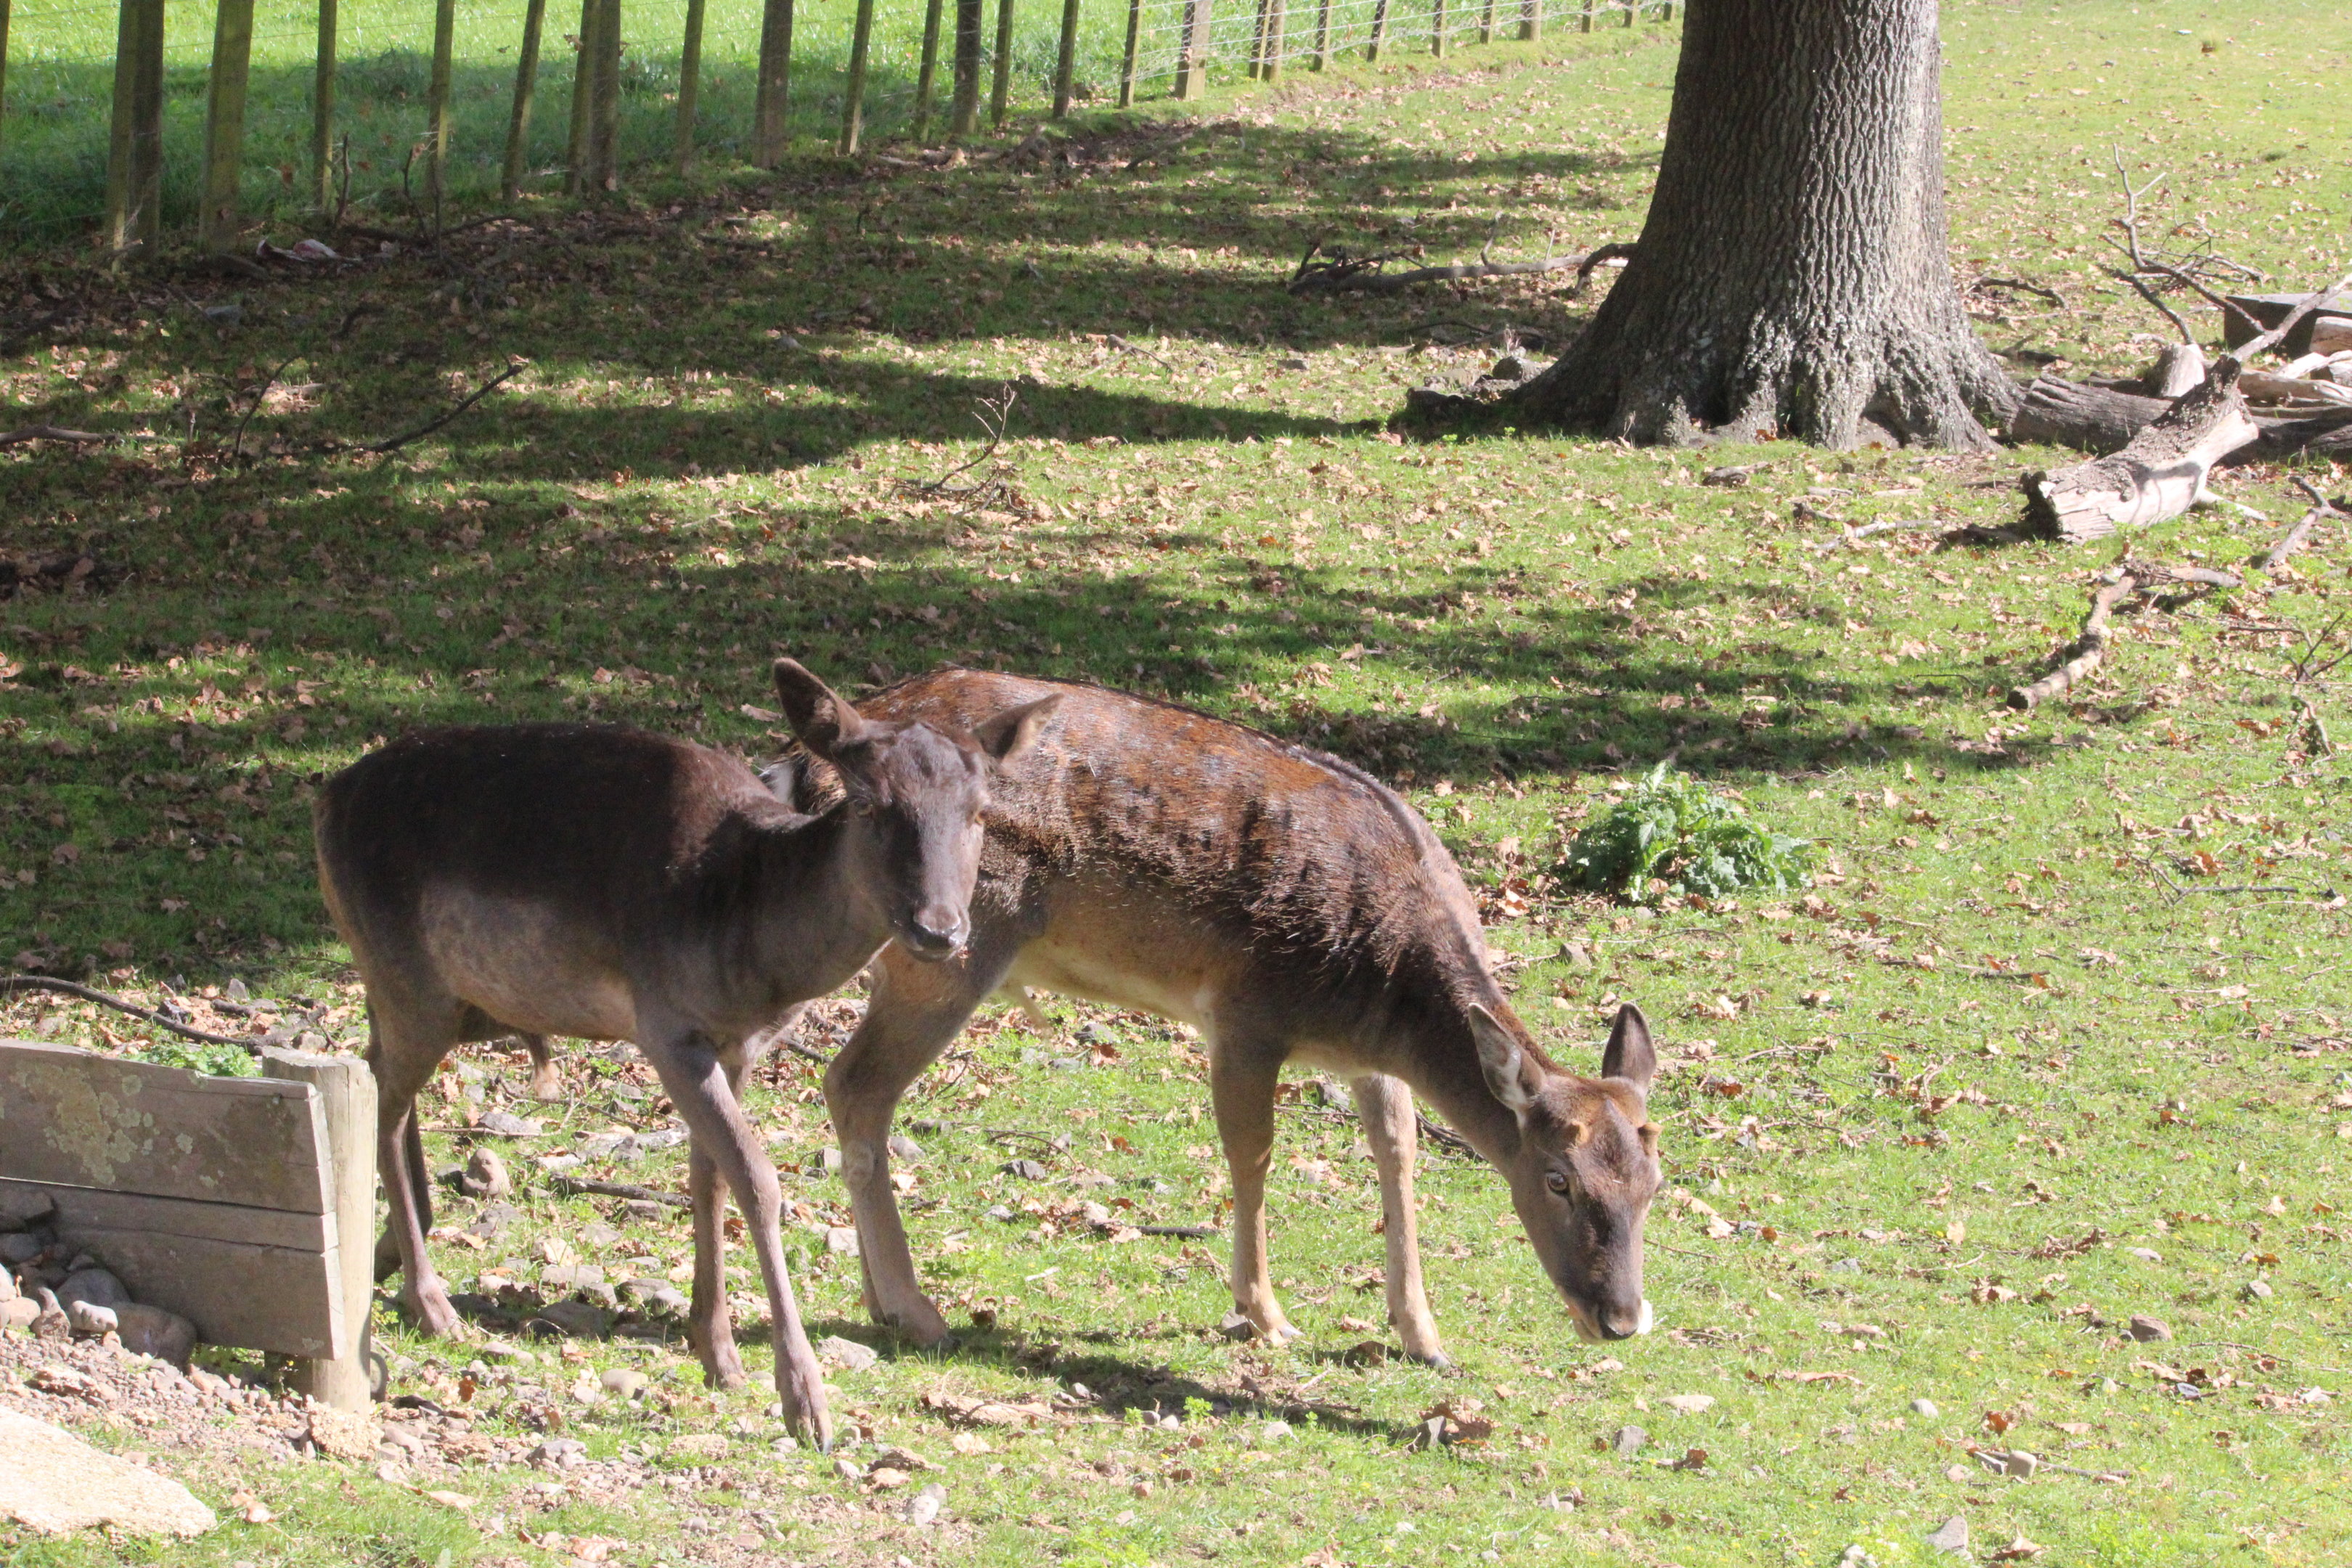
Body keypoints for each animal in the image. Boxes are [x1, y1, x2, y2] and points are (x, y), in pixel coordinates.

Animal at [313, 660, 1057, 1448]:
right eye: (870, 804)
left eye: (980, 812)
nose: (940, 929)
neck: (753, 940)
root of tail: (325, 798)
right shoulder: (665, 1024)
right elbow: (758, 1180)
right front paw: (805, 1403)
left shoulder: (739, 1046)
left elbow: (711, 1179)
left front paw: (719, 1353)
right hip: (409, 980)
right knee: (383, 1103)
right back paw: (431, 1304)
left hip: (429, 999)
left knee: (377, 1073)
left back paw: (395, 1259)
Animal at [772, 669, 1663, 1367]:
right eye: (1557, 1180)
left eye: (1654, 1184)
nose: (1621, 1319)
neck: (1380, 985)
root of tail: (804, 768)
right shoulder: (1246, 1012)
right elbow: (1252, 1153)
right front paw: (1265, 1314)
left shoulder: (1368, 1057)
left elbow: (1400, 1152)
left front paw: (1424, 1334)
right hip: (953, 941)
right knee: (856, 1082)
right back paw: (916, 1309)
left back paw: (880, 1296)